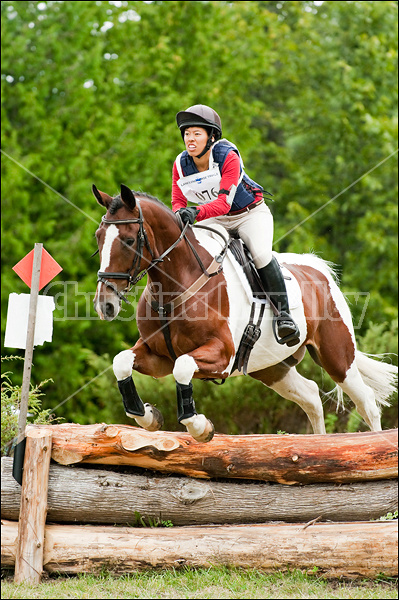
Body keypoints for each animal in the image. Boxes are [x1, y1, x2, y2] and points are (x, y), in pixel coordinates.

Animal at [93, 183, 396, 440]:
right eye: (98, 238)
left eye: (129, 240)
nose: (104, 304)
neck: (173, 287)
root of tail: (318, 269)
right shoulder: (158, 357)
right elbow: (121, 362)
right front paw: (149, 416)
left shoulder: (221, 354)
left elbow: (183, 367)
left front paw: (200, 427)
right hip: (272, 367)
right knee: (310, 396)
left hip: (337, 357)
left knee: (367, 403)